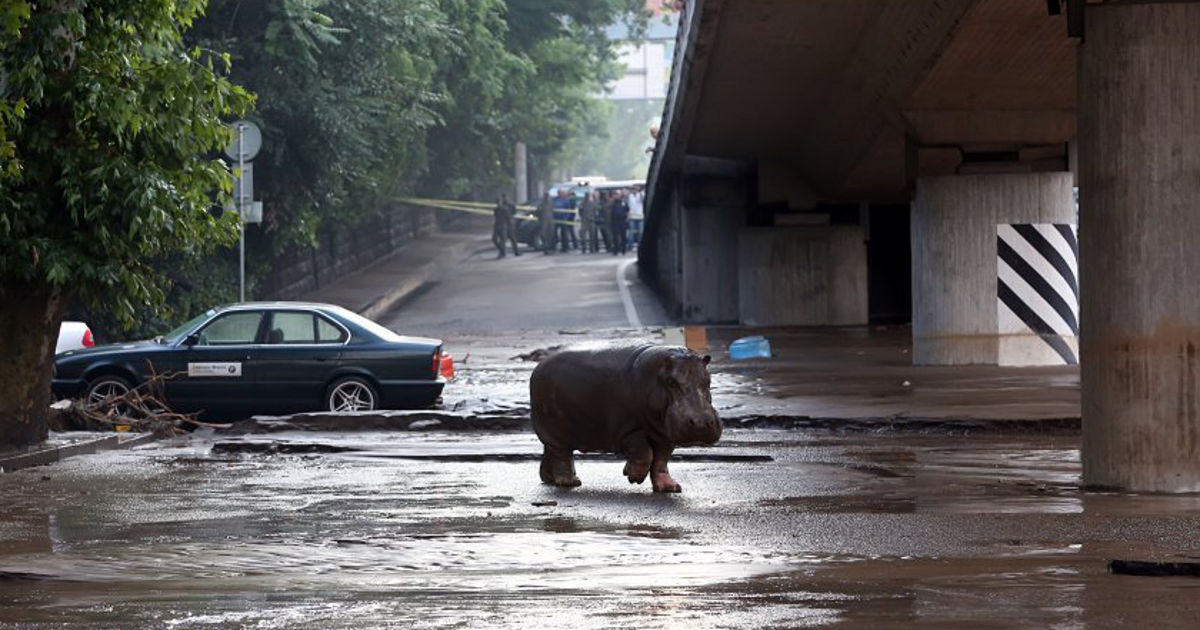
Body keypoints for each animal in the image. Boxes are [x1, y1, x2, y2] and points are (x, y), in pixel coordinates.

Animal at [532, 343, 720, 492]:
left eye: (708, 380)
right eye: (671, 382)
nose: (701, 422)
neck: (655, 375)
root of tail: (539, 366)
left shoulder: (664, 435)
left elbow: (661, 460)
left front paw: (670, 488)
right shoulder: (628, 429)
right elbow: (645, 452)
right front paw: (633, 477)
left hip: (554, 436)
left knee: (551, 453)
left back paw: (549, 479)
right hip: (556, 433)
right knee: (563, 457)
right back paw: (571, 483)